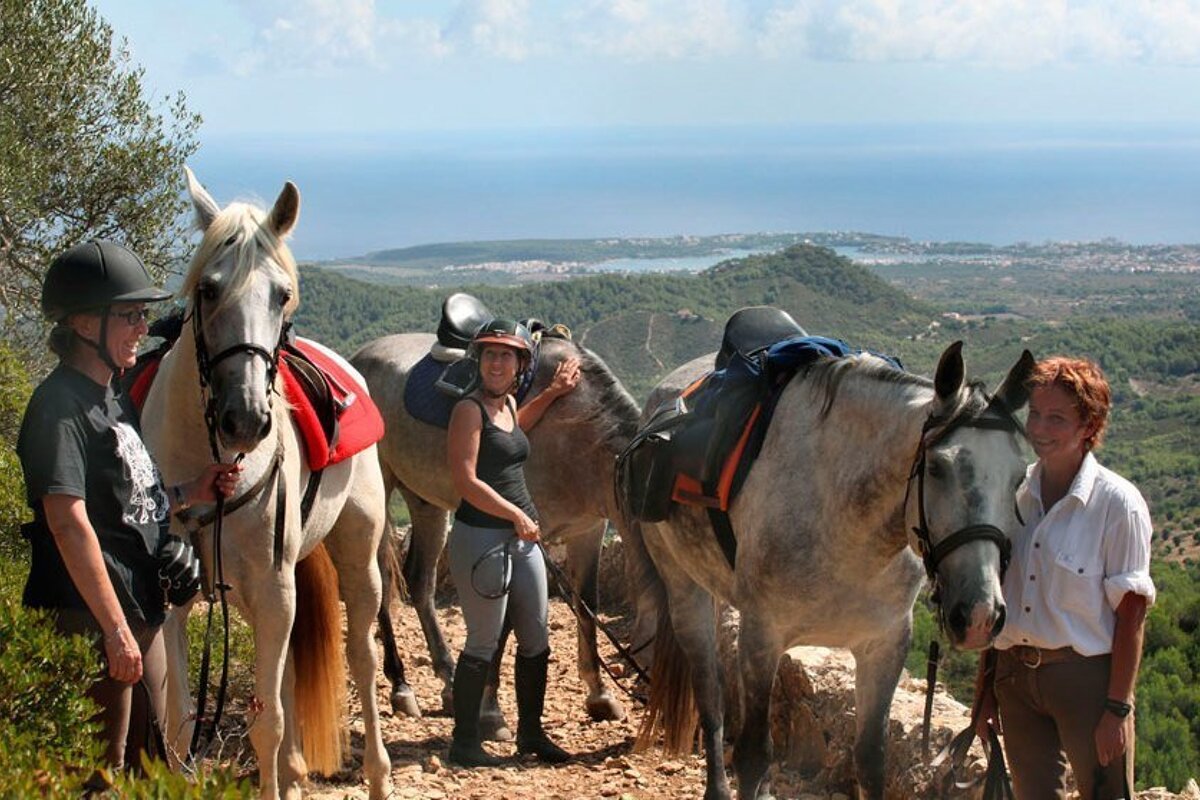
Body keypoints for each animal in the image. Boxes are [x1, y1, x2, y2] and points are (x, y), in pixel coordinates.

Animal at [140, 168, 391, 800]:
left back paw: (377, 774)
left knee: (361, 659)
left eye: (282, 294)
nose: (247, 418)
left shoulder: (275, 589)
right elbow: (182, 724)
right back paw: (298, 775)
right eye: (208, 290)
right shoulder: (182, 596)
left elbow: (267, 723)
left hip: (355, 559)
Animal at [351, 331, 651, 732]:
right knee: (383, 582)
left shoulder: (589, 530)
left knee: (420, 581)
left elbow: (588, 607)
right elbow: (506, 620)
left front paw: (600, 696)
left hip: (425, 501)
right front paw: (490, 710)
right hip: (380, 491)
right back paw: (401, 687)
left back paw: (448, 681)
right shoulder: (521, 534)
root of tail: (358, 358)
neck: (577, 432)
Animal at [625, 341, 1033, 800]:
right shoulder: (761, 637)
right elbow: (753, 755)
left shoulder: (884, 643)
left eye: (1019, 476)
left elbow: (871, 759)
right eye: (937, 468)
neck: (843, 516)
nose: (980, 615)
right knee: (710, 698)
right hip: (684, 590)